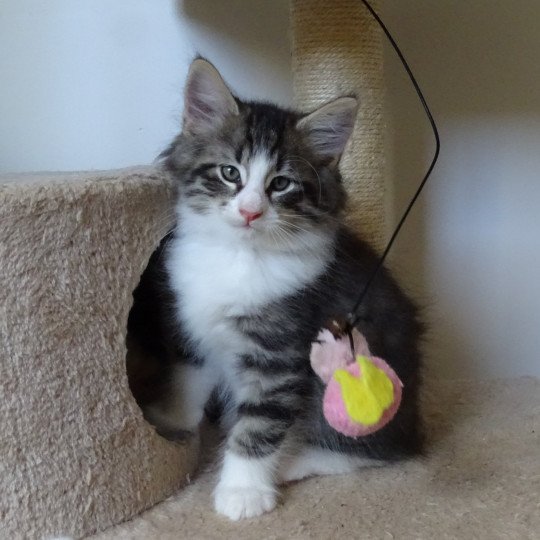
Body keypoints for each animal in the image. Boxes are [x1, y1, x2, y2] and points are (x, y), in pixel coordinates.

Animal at [129, 58, 424, 520]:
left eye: (281, 183)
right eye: (230, 173)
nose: (251, 211)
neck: (238, 256)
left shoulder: (279, 356)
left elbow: (258, 424)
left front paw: (242, 490)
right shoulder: (192, 324)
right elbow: (187, 377)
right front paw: (169, 423)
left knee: (379, 450)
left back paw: (293, 461)